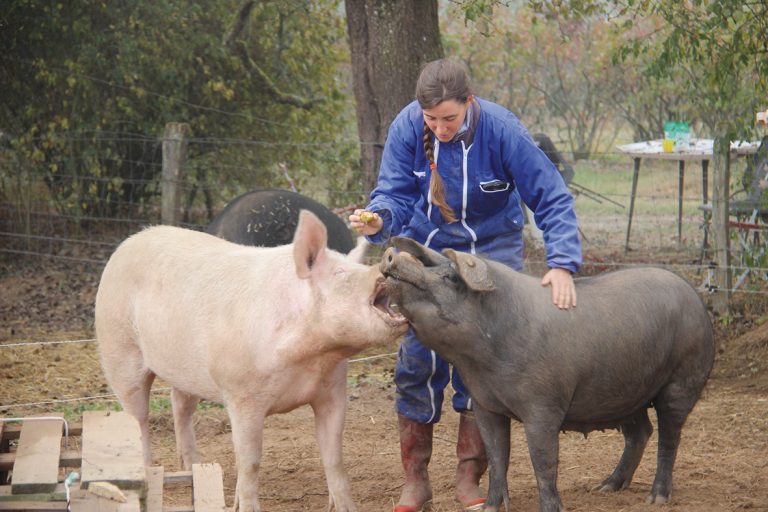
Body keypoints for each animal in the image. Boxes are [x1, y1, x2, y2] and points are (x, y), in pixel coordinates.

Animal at [94, 210, 408, 510]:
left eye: (357, 265)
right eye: (341, 273)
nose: (384, 265)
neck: (311, 357)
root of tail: (126, 244)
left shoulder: (332, 390)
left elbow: (333, 457)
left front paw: (344, 507)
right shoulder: (241, 394)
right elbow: (250, 461)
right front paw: (245, 506)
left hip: (184, 369)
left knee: (180, 406)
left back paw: (195, 466)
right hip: (119, 350)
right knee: (138, 418)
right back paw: (147, 474)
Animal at [382, 238, 712, 512]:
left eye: (451, 277)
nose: (391, 256)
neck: (478, 361)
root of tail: (696, 298)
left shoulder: (544, 405)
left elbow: (543, 463)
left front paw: (551, 508)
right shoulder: (485, 404)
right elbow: (497, 456)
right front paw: (489, 507)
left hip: (683, 378)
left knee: (669, 436)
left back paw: (656, 498)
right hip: (627, 391)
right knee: (640, 432)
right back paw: (605, 487)